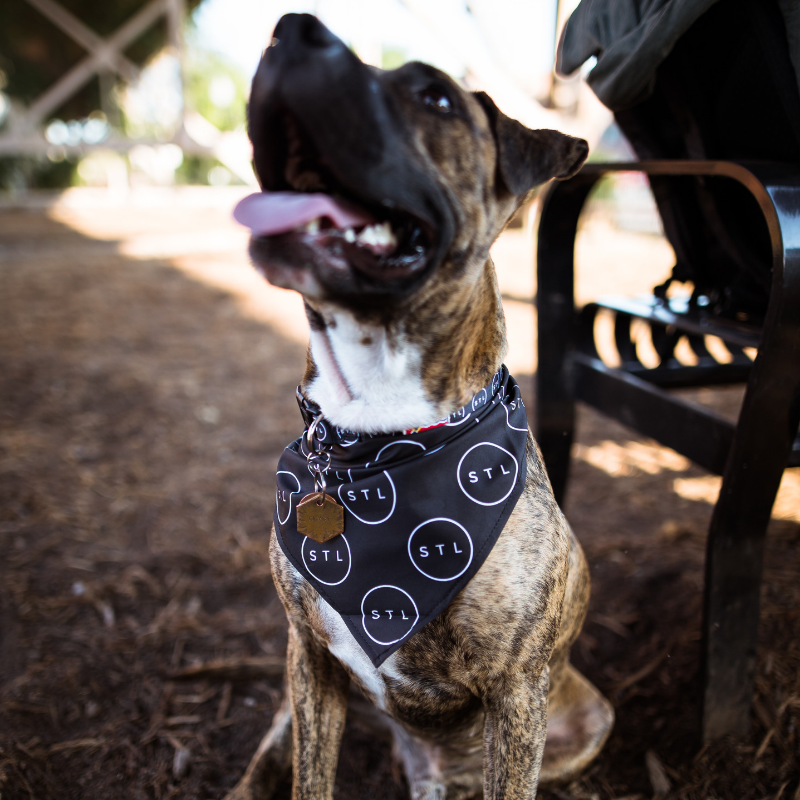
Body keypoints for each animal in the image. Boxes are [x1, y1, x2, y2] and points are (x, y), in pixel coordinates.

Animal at [228, 14, 616, 800]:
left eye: (436, 98)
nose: (291, 28)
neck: (377, 435)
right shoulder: (308, 657)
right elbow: (308, 775)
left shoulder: (516, 692)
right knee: (273, 751)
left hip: (588, 717)